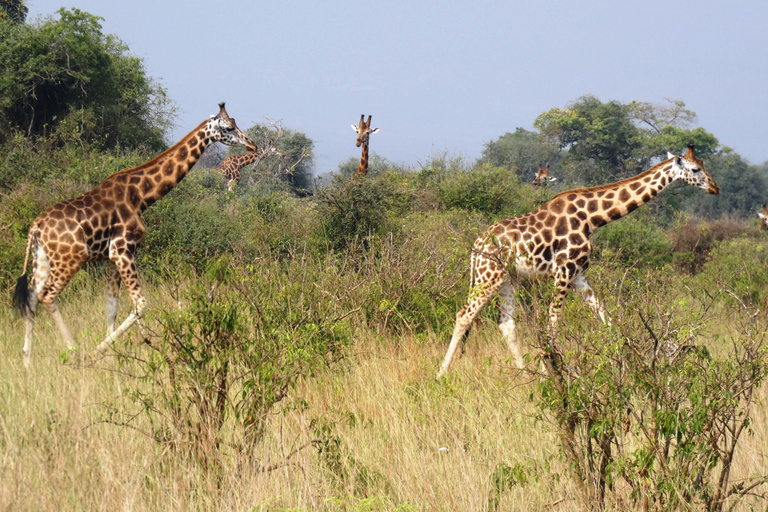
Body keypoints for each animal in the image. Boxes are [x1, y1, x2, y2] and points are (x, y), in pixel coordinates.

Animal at [12, 102, 258, 364]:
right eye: (229, 127)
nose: (252, 144)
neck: (141, 196)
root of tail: (36, 226)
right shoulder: (123, 250)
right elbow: (141, 304)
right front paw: (98, 352)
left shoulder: (111, 256)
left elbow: (111, 306)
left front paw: (110, 356)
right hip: (71, 258)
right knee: (48, 296)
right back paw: (75, 351)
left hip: (42, 259)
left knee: (32, 296)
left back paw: (27, 360)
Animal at [438, 146, 720, 378]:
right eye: (696, 169)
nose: (715, 188)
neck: (592, 219)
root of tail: (476, 246)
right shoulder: (564, 270)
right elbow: (553, 324)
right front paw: (551, 370)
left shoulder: (579, 275)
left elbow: (605, 316)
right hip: (490, 276)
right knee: (464, 315)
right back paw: (441, 374)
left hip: (508, 278)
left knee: (506, 324)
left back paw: (526, 375)